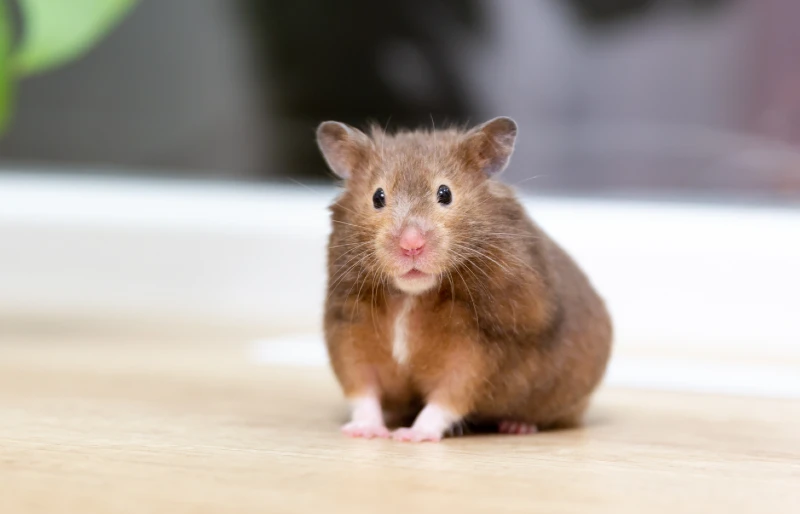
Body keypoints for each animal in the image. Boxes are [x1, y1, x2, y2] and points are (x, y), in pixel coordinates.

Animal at [316, 117, 612, 442]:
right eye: (378, 197)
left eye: (445, 193)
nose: (411, 245)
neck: (411, 295)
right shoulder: (351, 326)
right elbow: (362, 387)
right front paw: (363, 432)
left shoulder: (482, 344)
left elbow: (449, 396)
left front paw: (412, 436)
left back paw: (516, 426)